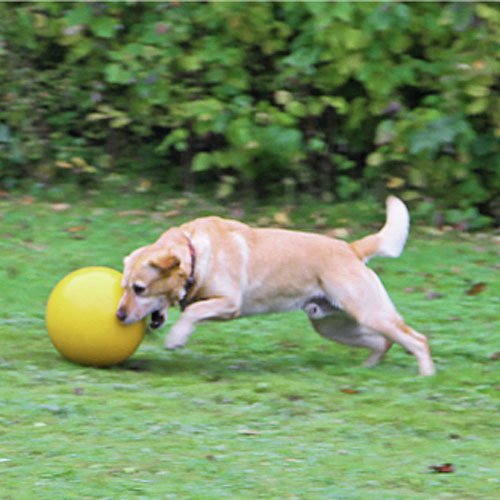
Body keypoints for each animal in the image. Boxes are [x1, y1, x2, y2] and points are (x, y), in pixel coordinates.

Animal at [116, 195, 434, 376]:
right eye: (124, 286)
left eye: (139, 288)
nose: (118, 316)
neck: (196, 254)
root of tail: (351, 248)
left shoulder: (229, 303)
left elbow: (192, 312)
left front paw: (176, 338)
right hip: (331, 324)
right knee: (384, 341)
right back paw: (366, 370)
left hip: (369, 313)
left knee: (417, 339)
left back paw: (426, 375)